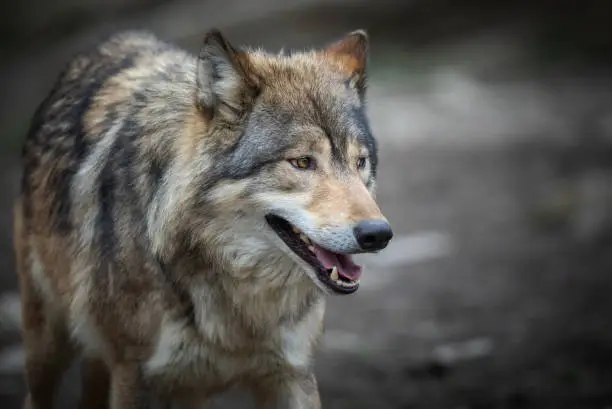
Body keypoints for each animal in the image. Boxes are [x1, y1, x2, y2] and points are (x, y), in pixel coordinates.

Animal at [15, 27, 396, 406]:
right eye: (302, 162)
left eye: (360, 161)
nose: (377, 234)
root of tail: (116, 38)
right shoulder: (134, 377)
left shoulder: (292, 373)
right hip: (47, 346)